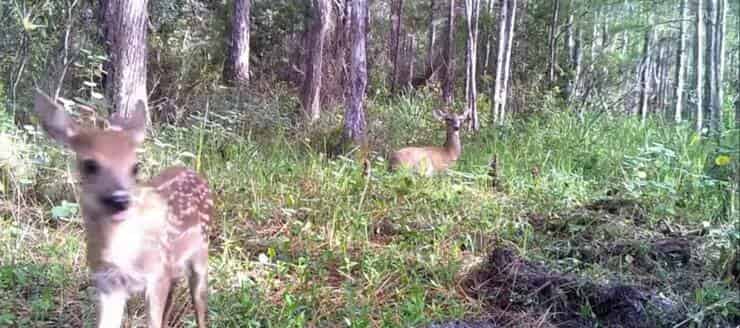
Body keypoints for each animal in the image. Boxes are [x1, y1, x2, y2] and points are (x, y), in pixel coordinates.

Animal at [35, 89, 214, 328]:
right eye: (90, 165)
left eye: (135, 167)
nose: (120, 199)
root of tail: (194, 172)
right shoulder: (107, 282)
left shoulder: (156, 274)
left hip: (201, 254)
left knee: (199, 302)